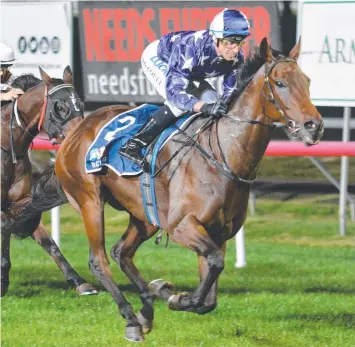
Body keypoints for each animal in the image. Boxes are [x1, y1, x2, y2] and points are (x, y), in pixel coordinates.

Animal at [0, 67, 96, 296]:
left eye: (81, 104)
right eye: (59, 107)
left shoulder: (19, 203)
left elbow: (47, 241)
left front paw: (80, 282)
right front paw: (2, 281)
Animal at [11, 38, 324, 342]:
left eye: (307, 81)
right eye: (280, 83)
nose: (314, 126)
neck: (222, 155)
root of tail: (75, 130)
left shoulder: (218, 234)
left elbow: (210, 294)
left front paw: (165, 291)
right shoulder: (182, 226)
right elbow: (213, 266)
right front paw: (172, 295)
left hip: (145, 214)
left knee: (121, 252)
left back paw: (146, 310)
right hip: (89, 200)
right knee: (98, 260)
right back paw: (130, 317)